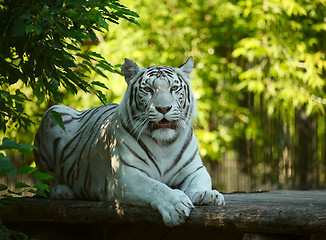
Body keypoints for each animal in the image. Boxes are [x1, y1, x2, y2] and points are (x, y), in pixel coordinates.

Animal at [35, 57, 224, 226]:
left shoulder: (194, 169)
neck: (164, 144)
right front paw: (176, 205)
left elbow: (200, 181)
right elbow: (155, 186)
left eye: (174, 88)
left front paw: (208, 194)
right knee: (44, 180)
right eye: (148, 89)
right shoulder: (126, 176)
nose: (163, 108)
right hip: (53, 113)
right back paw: (61, 190)